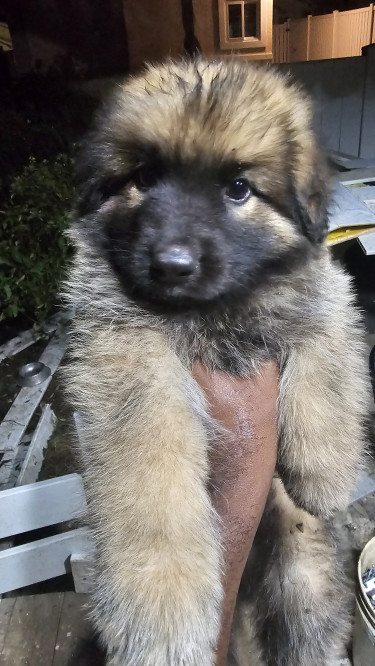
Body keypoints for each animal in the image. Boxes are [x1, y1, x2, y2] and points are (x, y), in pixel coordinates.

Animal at [65, 58, 370, 664]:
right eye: (143, 178)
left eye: (238, 189)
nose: (172, 264)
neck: (215, 311)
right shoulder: (126, 353)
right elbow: (151, 481)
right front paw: (160, 605)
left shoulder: (321, 291)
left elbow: (326, 351)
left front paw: (325, 469)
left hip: (305, 583)